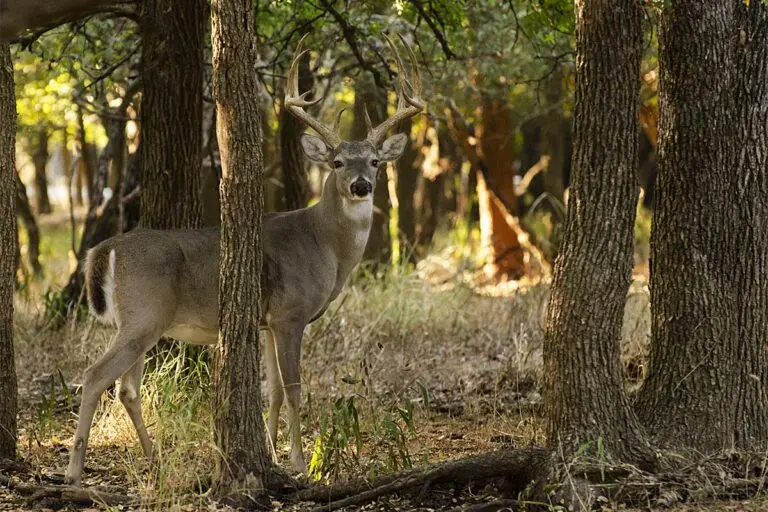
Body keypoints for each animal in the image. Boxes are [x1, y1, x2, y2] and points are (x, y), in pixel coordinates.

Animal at [64, 33, 424, 486]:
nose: (361, 185)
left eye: (375, 161)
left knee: (126, 388)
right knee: (94, 376)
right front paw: (300, 463)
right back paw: (74, 470)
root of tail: (105, 248)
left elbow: (272, 391)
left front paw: (269, 454)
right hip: (144, 314)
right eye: (338, 162)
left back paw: (153, 459)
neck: (324, 244)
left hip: (139, 322)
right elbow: (294, 388)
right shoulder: (290, 313)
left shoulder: (266, 321)